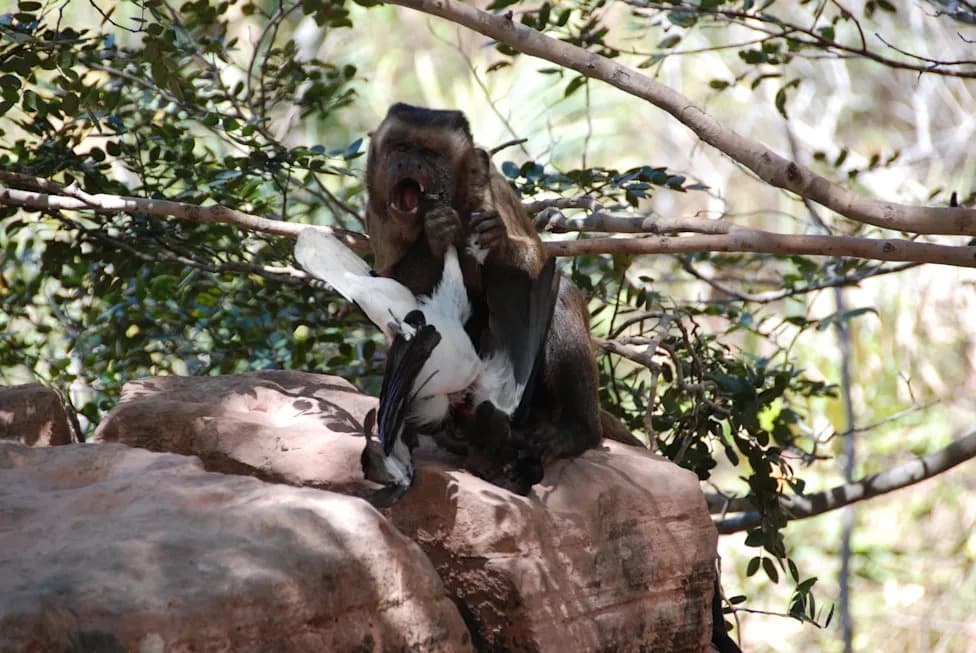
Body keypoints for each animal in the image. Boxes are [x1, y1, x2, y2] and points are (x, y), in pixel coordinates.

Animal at [363, 103, 602, 493]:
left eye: (430, 154)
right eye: (400, 147)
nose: (407, 163)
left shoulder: (491, 190)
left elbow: (537, 266)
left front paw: (497, 239)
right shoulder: (378, 213)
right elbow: (390, 292)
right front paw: (436, 232)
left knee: (559, 295)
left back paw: (575, 431)